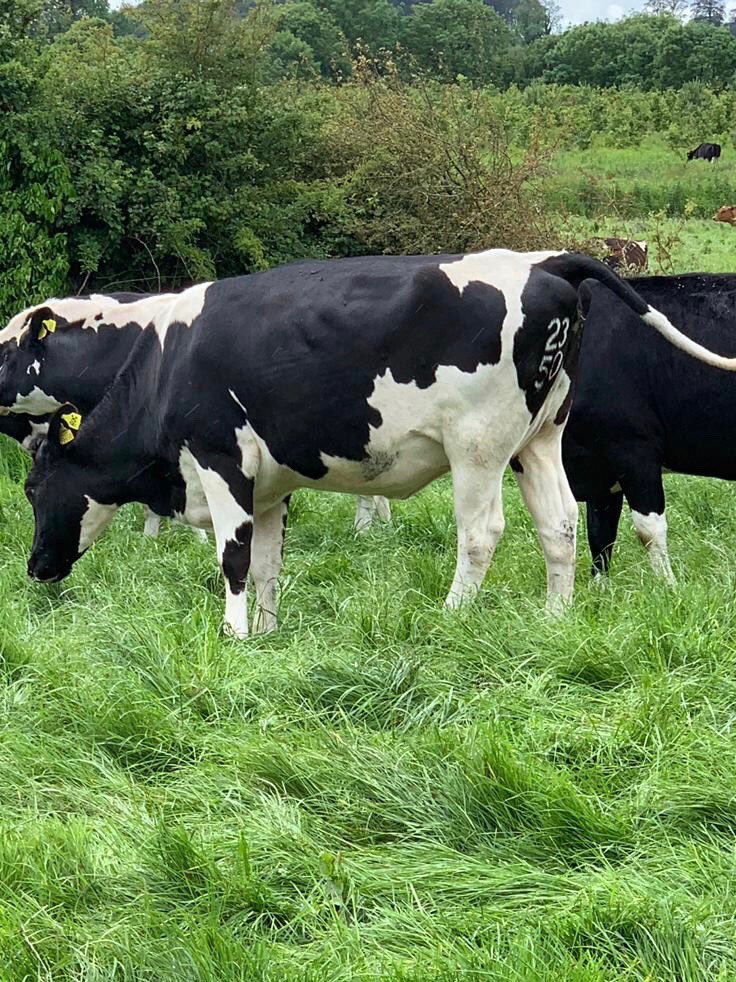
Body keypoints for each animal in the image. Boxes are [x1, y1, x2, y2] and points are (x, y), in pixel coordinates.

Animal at [563, 273, 736, 582]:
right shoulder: (601, 468)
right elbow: (600, 534)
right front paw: (599, 589)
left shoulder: (632, 448)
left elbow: (649, 529)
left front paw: (668, 586)